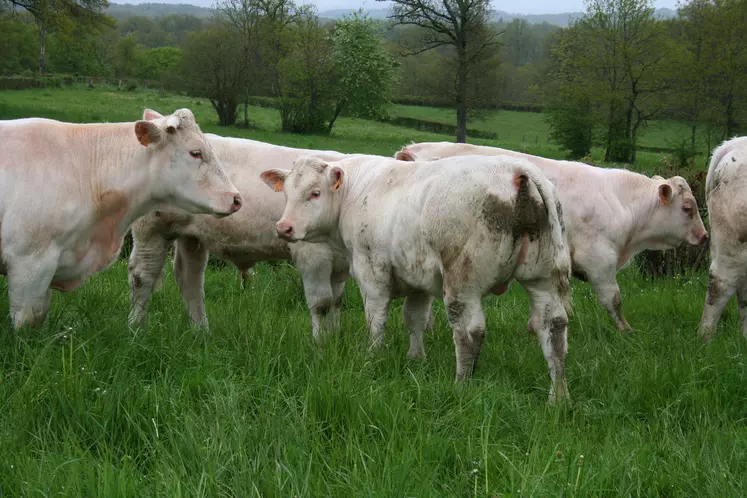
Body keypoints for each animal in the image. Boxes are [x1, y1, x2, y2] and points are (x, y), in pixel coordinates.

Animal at [129, 134, 362, 336]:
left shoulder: (338, 264)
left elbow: (336, 302)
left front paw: (333, 342)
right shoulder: (313, 255)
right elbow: (322, 304)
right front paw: (320, 348)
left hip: (192, 236)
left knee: (190, 279)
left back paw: (201, 332)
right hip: (151, 228)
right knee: (142, 275)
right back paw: (136, 329)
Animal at [262, 154, 572, 402]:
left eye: (315, 193)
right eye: (286, 192)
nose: (284, 227)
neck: (355, 191)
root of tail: (515, 167)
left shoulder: (371, 271)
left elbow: (376, 319)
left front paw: (372, 357)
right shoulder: (418, 278)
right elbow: (414, 318)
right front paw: (416, 359)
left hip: (462, 283)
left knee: (469, 332)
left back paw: (461, 385)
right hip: (542, 280)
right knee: (553, 329)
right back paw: (558, 398)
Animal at [398, 142, 708, 332]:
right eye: (688, 208)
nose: (705, 236)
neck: (619, 201)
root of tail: (412, 150)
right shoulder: (599, 260)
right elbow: (614, 299)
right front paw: (625, 330)